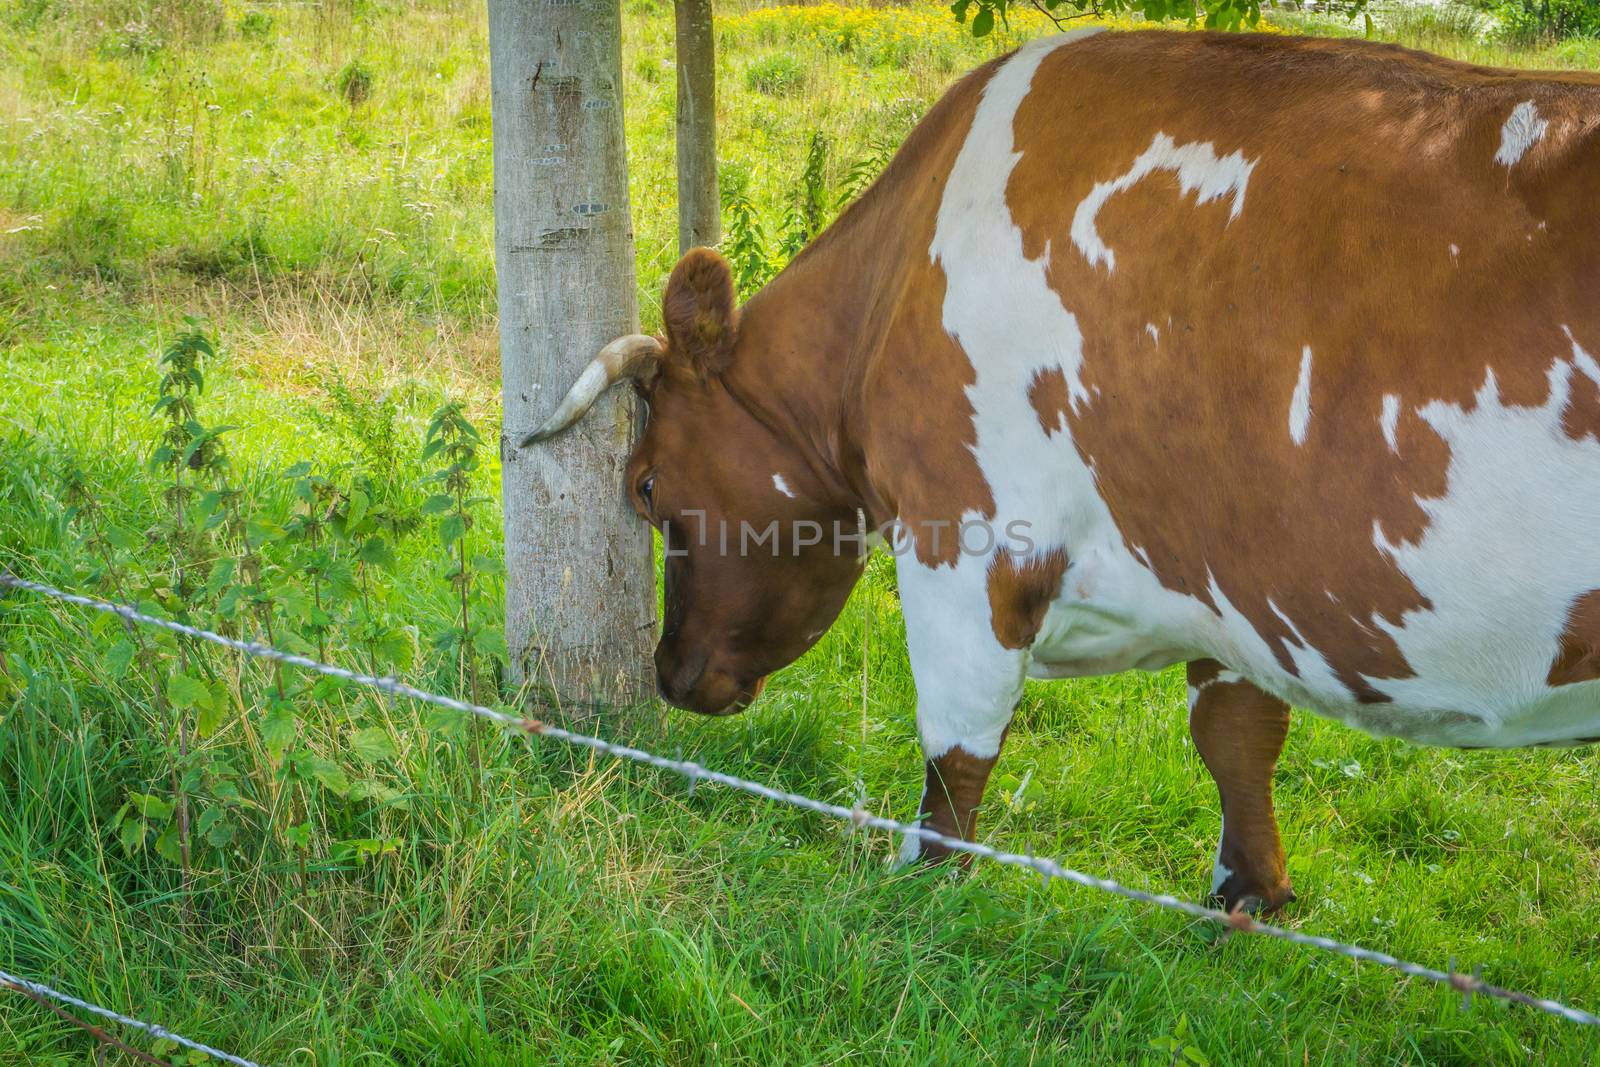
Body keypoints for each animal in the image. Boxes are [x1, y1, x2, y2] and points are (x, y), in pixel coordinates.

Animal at [524, 31, 1600, 921]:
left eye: (646, 485)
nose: (669, 670)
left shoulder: (968, 538)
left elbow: (956, 747)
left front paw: (919, 888)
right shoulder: (1229, 573)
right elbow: (1236, 730)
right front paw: (1247, 895)